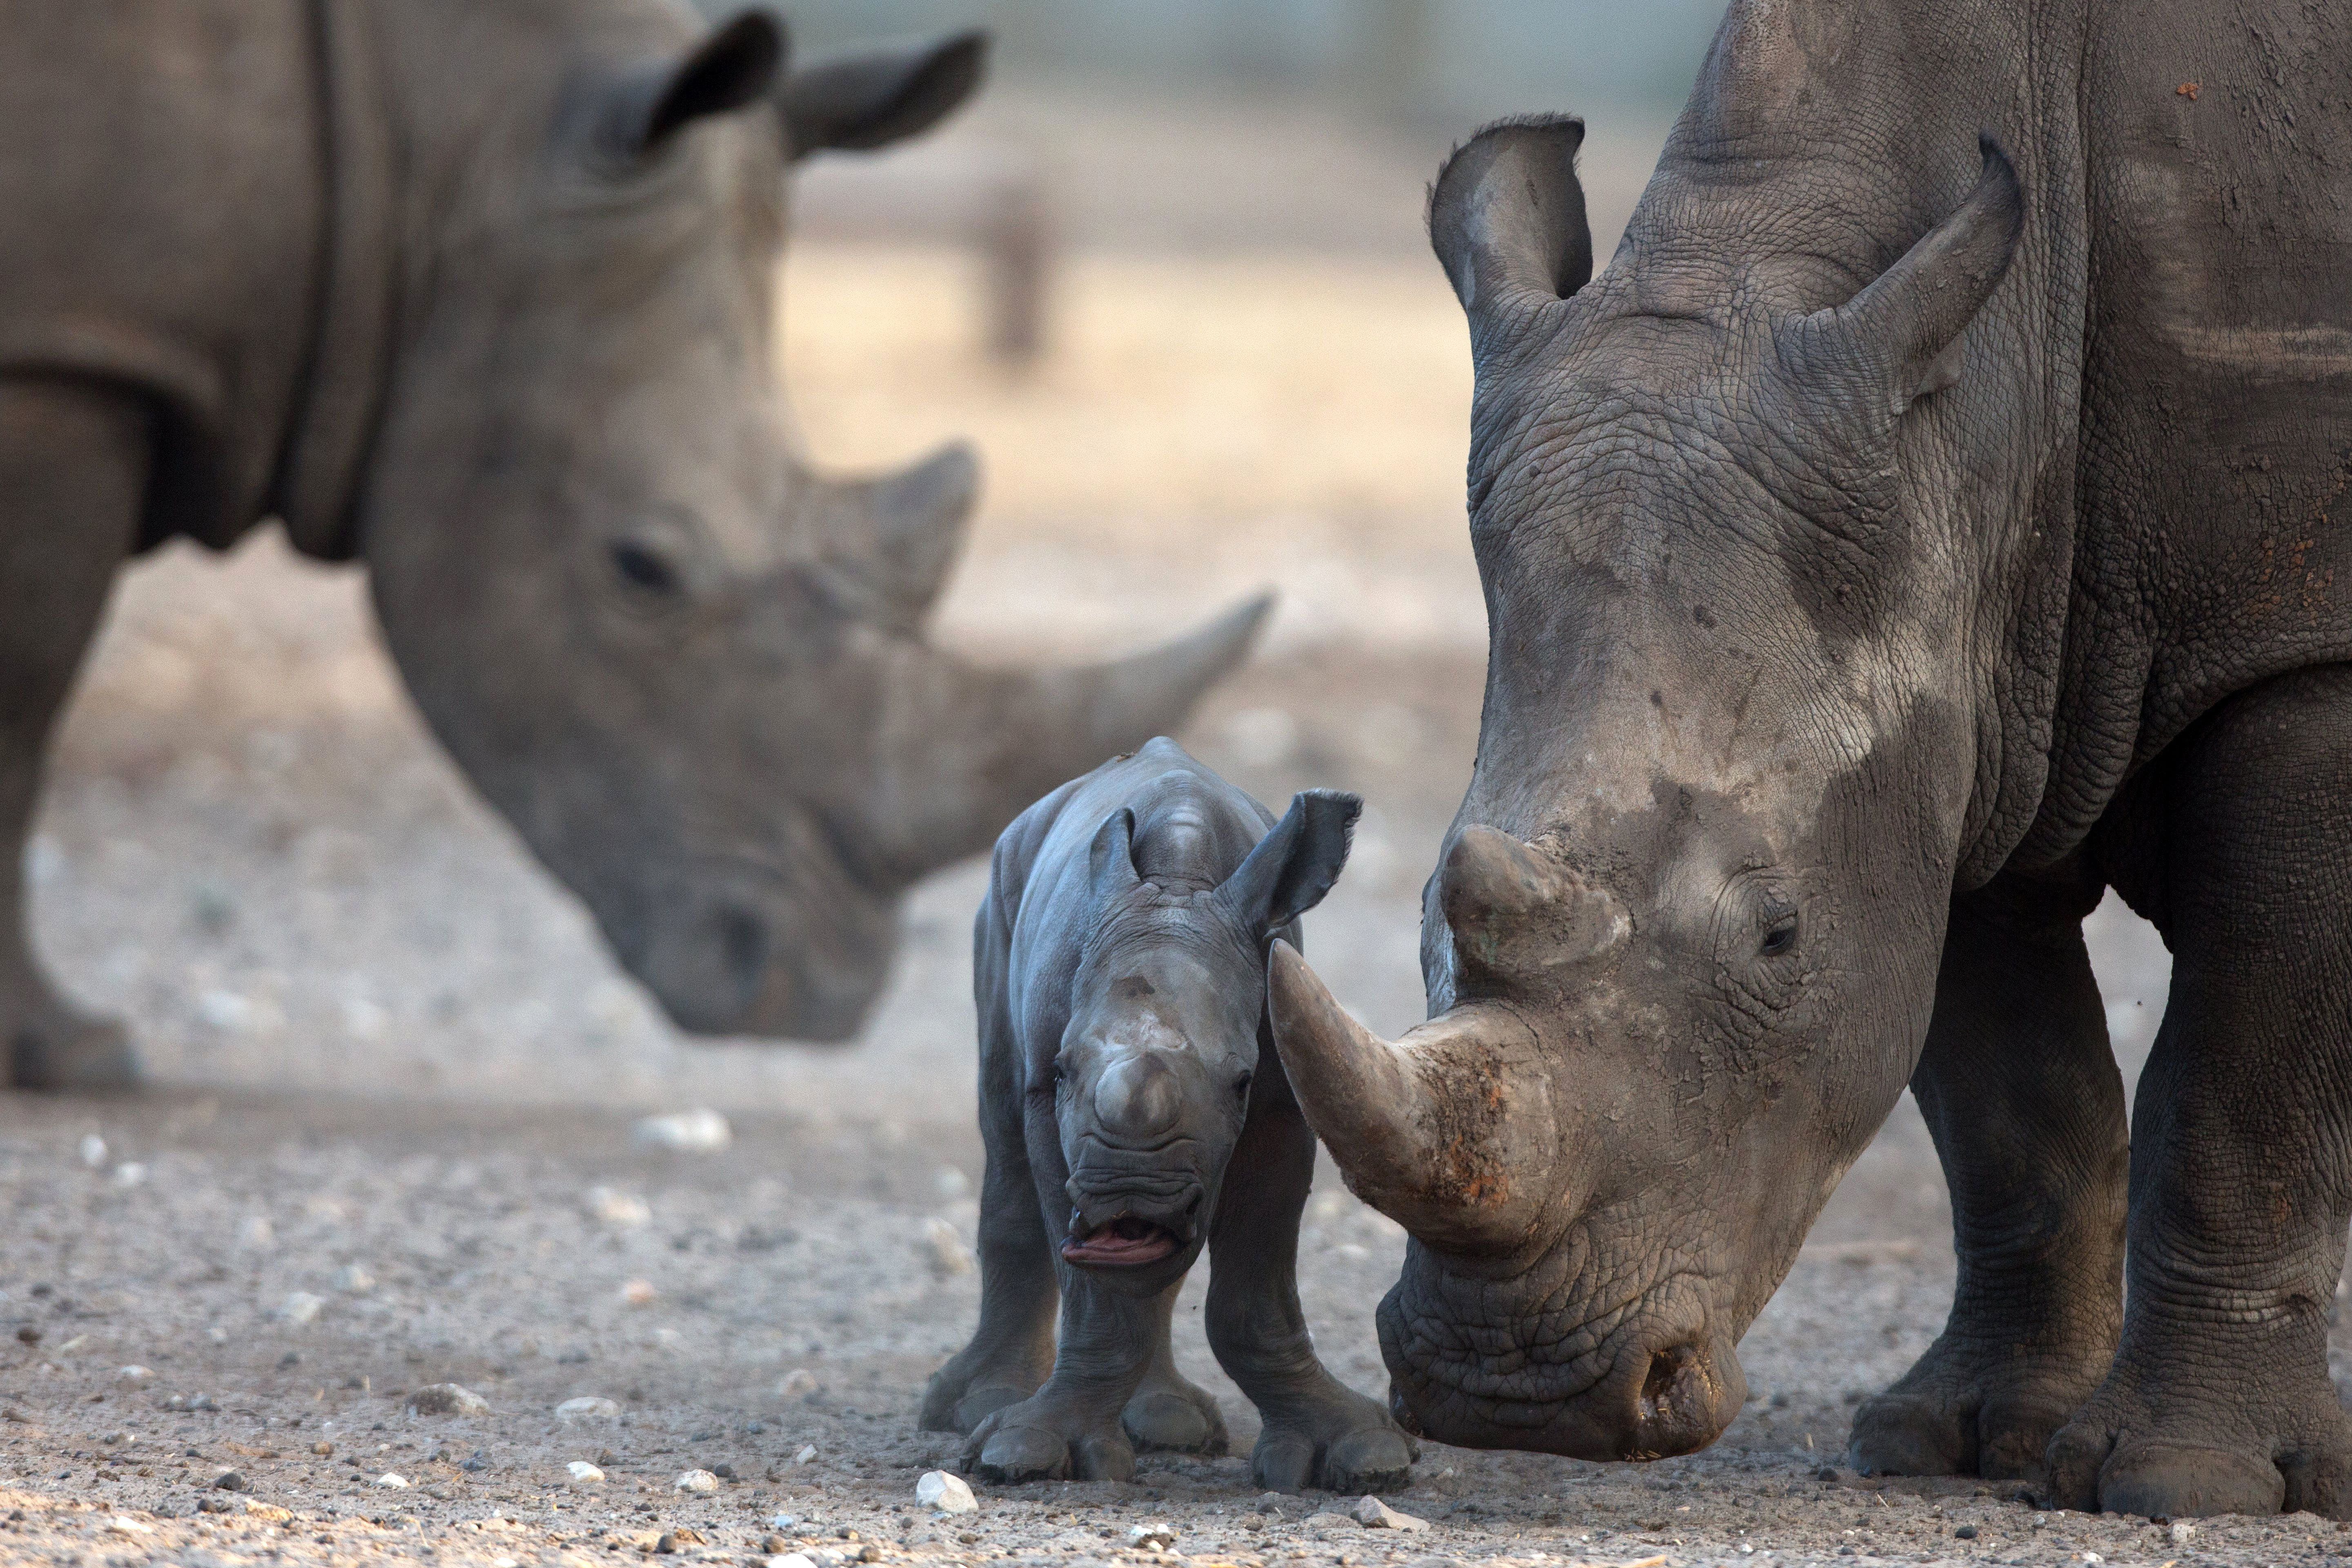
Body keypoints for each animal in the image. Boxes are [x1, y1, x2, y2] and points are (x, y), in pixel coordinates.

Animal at [0, 0, 1266, 1090]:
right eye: (640, 568)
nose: (813, 1001)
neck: (425, 145)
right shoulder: (64, 361)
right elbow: (30, 701)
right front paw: (77, 1057)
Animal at [1266, 0, 2352, 1523]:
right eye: (1428, 902)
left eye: (1775, 936)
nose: (1514, 1394)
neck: (1987, 404)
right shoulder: (1957, 705)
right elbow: (2014, 1094)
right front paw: (1965, 1441)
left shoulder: (2301, 648)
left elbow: (2240, 1082)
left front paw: (2182, 1483)